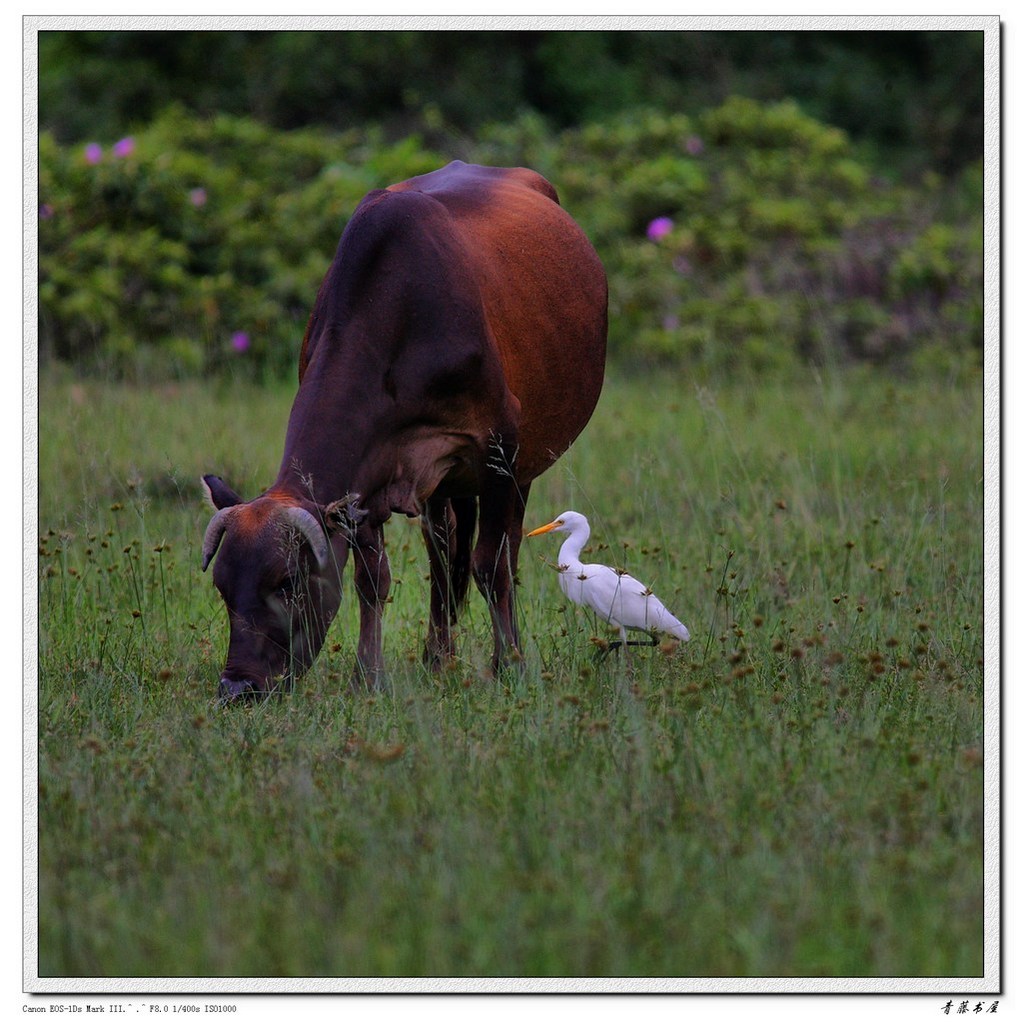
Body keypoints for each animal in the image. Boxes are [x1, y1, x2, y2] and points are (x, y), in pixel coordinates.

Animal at [199, 159, 606, 700]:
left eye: (286, 581)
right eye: (223, 587)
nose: (237, 687)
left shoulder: (501, 451)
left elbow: (491, 566)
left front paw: (511, 666)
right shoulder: (367, 479)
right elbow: (373, 579)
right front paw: (367, 677)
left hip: (520, 469)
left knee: (500, 554)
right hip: (443, 487)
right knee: (443, 555)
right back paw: (438, 657)